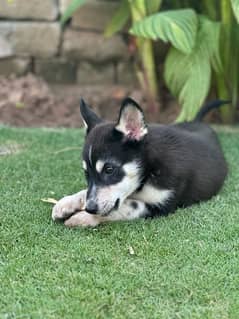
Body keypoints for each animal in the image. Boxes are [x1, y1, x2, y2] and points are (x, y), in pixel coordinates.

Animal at [52, 97, 228, 228]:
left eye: (109, 169)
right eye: (86, 173)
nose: (90, 208)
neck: (149, 171)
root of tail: (199, 122)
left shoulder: (161, 206)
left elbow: (124, 207)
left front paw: (83, 217)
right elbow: (86, 192)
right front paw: (66, 203)